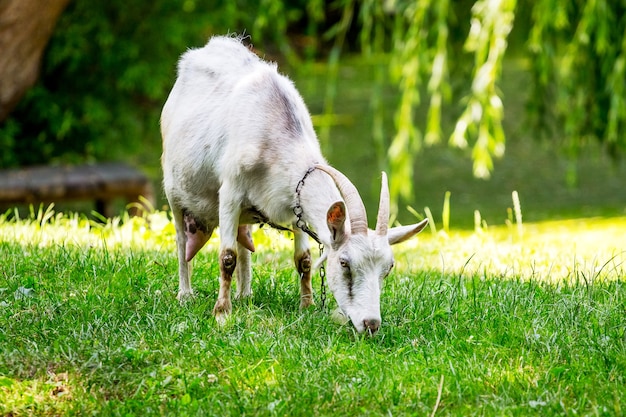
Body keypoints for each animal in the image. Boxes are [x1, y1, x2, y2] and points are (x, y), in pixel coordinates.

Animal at [160, 36, 428, 334]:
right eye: (344, 262)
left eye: (388, 267)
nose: (370, 324)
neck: (276, 141)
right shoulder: (229, 192)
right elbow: (226, 257)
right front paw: (221, 314)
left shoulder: (294, 201)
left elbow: (305, 259)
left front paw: (307, 306)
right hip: (174, 190)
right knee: (181, 240)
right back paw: (186, 294)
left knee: (243, 240)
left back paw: (244, 294)